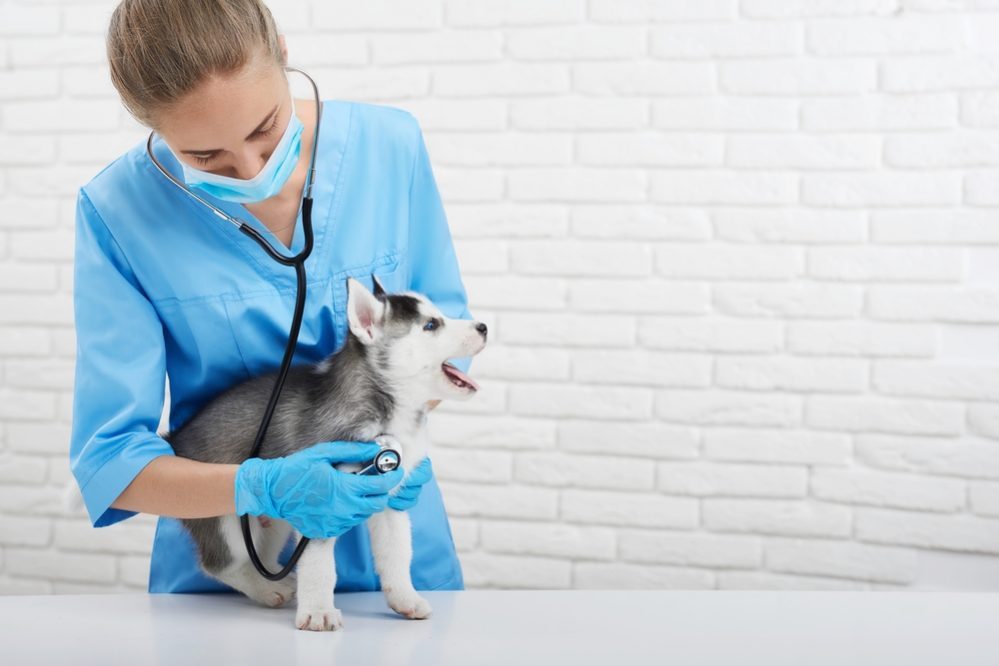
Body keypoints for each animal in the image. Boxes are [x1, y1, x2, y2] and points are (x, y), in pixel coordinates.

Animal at [164, 274, 488, 628]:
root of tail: (175, 439)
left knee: (261, 556)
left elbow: (397, 553)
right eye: (430, 325)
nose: (484, 326)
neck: (384, 411)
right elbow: (320, 565)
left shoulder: (390, 497)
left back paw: (276, 583)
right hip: (223, 517)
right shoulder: (320, 502)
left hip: (272, 517)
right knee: (222, 563)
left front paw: (406, 599)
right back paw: (267, 588)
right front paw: (318, 611)